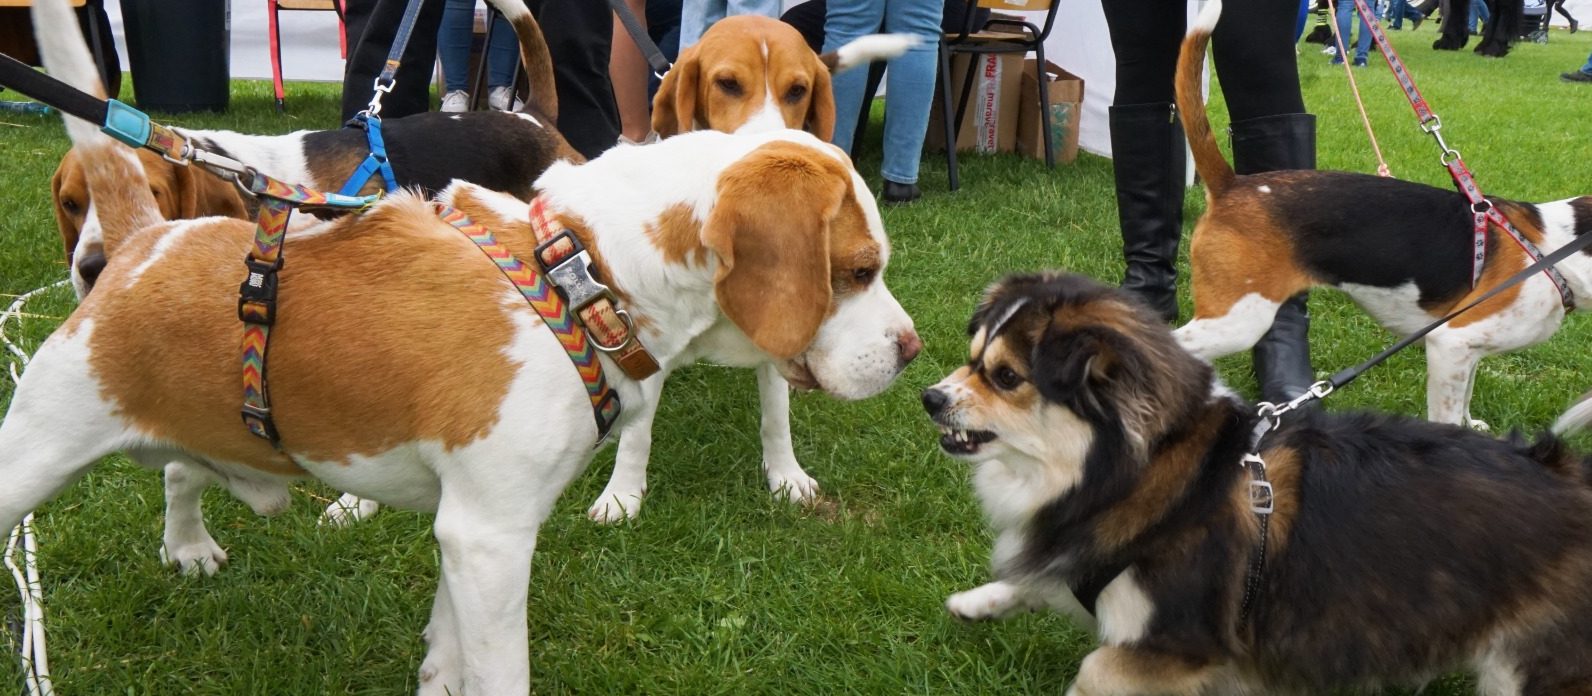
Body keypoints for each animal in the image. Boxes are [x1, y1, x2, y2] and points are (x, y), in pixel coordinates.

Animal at [579, 13, 916, 522]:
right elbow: (638, 432)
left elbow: (776, 415)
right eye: (728, 84)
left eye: (798, 90)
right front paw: (623, 494)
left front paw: (786, 475)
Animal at [929, 269, 1592, 688]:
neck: (1144, 473)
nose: (929, 397)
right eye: (972, 357)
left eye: (1006, 377)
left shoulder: (1176, 643)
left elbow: (1093, 672)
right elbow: (1038, 579)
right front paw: (979, 601)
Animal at [1171, 0, 1592, 430]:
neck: (1553, 252)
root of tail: (1232, 185)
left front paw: (1472, 425)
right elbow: (1446, 414)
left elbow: (1467, 392)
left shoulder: (1466, 349)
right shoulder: (1450, 342)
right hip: (1238, 320)